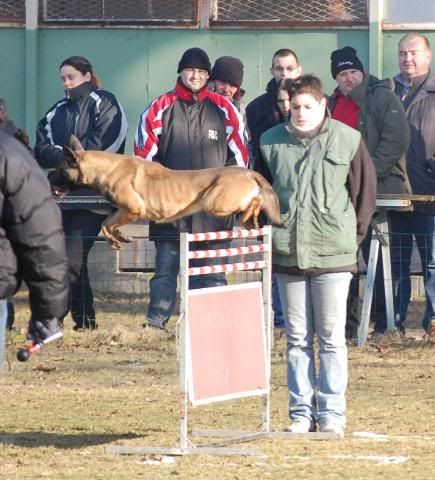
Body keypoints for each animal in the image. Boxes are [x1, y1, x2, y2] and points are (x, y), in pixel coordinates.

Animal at [61, 134, 284, 248]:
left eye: (58, 170)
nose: (53, 189)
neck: (105, 167)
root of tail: (249, 172)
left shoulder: (132, 210)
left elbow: (106, 225)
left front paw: (115, 240)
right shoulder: (124, 211)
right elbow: (108, 223)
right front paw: (121, 237)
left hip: (213, 202)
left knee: (254, 201)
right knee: (253, 207)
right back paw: (251, 219)